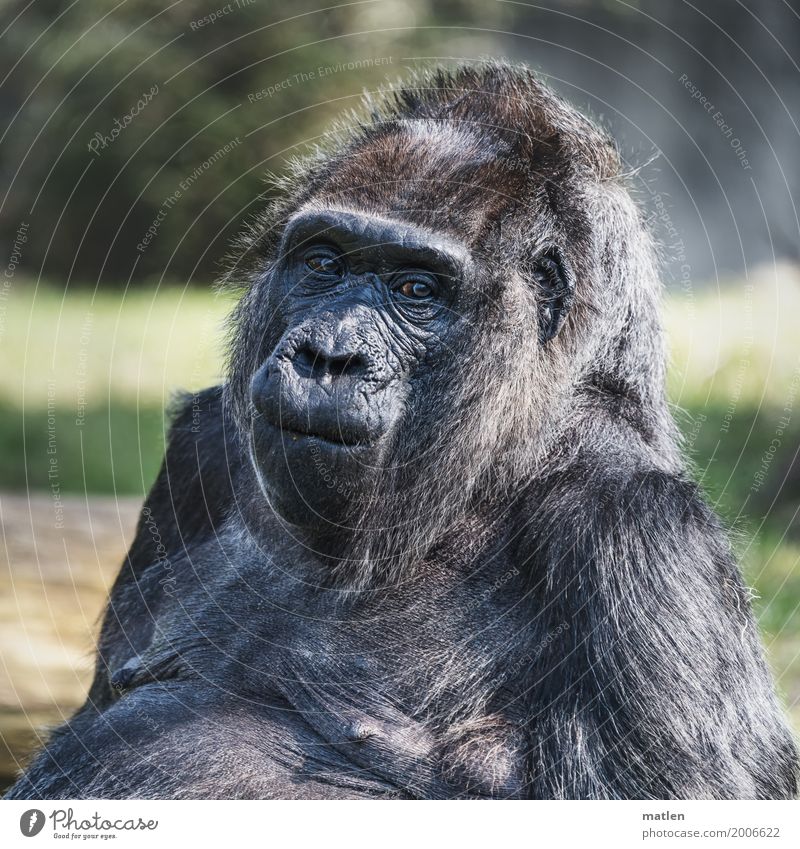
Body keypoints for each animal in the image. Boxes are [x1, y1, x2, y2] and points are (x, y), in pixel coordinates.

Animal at [7, 63, 800, 800]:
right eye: (323, 263)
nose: (328, 356)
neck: (490, 467)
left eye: (415, 289)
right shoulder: (198, 451)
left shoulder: (642, 533)